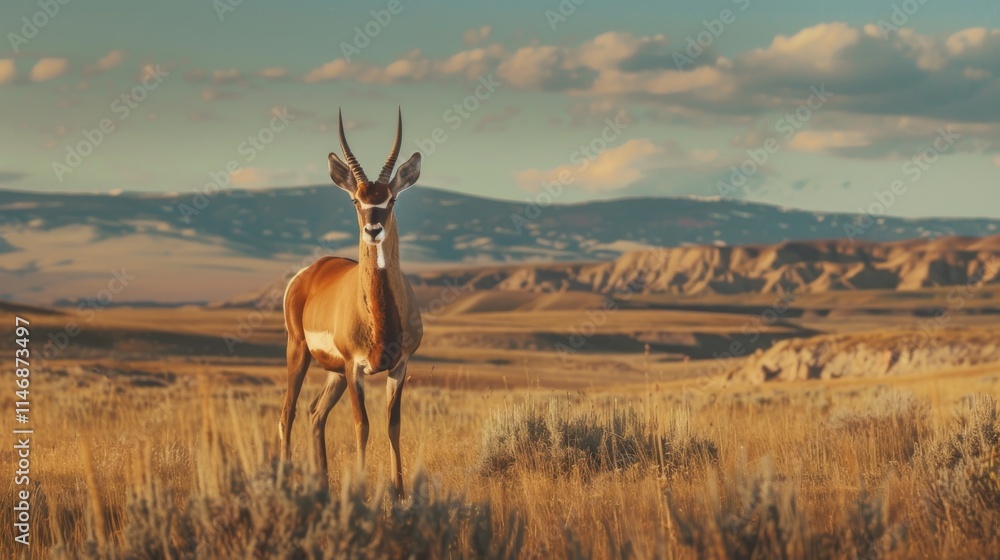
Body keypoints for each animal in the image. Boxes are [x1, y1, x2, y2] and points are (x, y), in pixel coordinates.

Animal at [279, 108, 423, 496]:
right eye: (356, 199)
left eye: (391, 199)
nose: (373, 230)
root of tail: (311, 272)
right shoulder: (355, 367)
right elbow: (362, 425)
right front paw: (360, 489)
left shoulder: (399, 366)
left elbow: (393, 425)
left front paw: (400, 494)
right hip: (300, 353)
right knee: (288, 412)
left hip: (333, 373)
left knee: (315, 414)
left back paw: (323, 487)